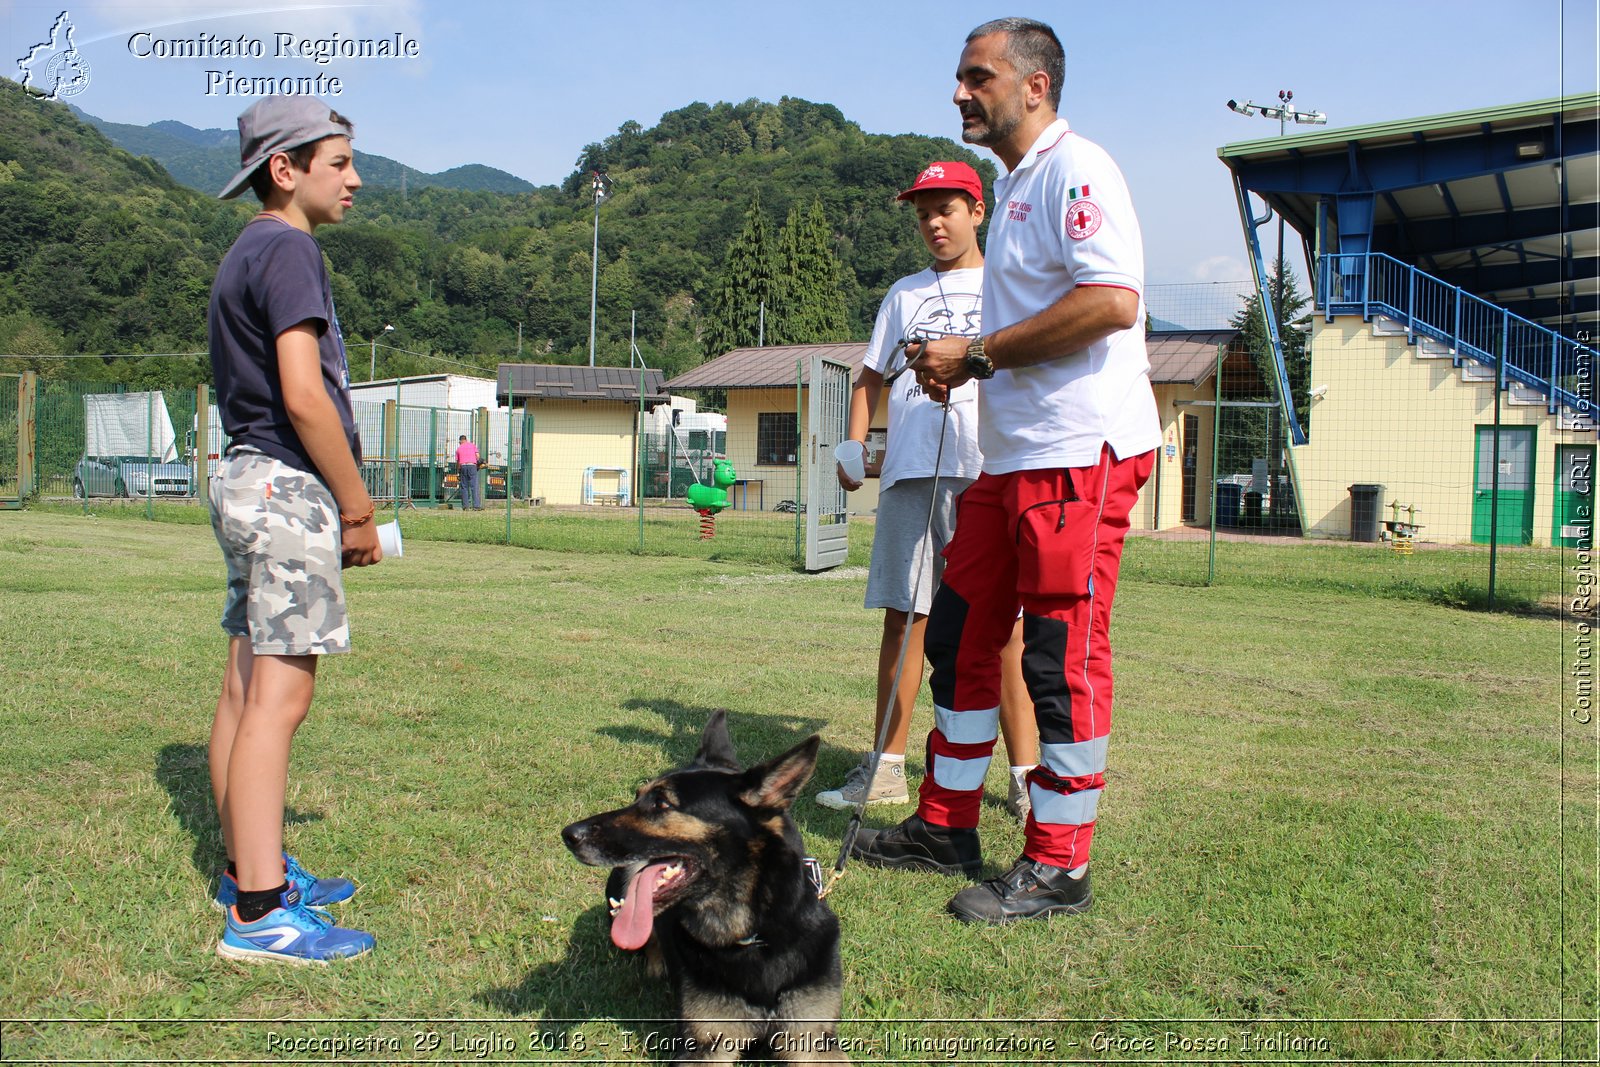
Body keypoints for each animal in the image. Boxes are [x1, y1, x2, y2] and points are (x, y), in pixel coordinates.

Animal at [560, 713, 844, 1062]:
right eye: (638, 796)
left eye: (661, 803)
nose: (568, 834)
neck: (752, 937)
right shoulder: (706, 1046)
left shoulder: (813, 1041)